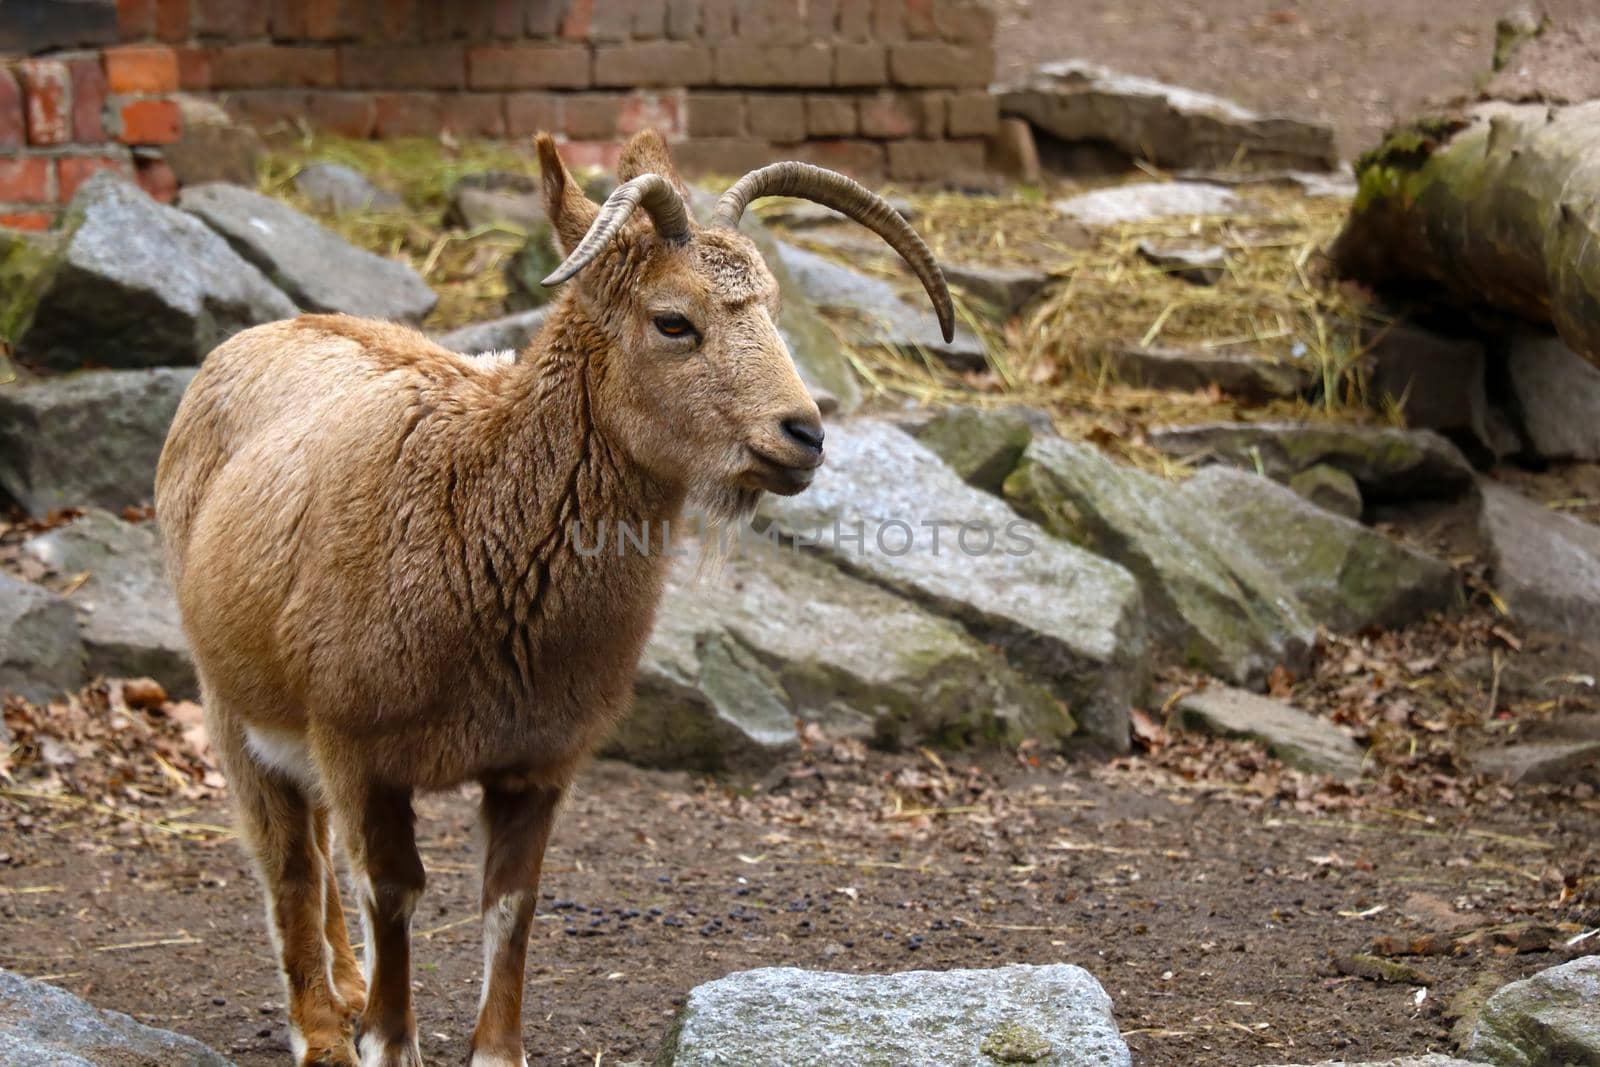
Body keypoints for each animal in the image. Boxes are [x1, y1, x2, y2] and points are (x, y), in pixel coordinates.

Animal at [152, 133, 947, 1067]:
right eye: (673, 319)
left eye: (775, 308)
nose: (803, 435)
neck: (474, 518)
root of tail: (250, 340)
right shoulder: (360, 746)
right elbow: (394, 888)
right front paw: (387, 1039)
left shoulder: (538, 760)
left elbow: (512, 900)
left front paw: (494, 1047)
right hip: (228, 696)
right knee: (288, 856)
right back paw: (322, 1028)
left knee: (308, 836)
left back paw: (345, 984)